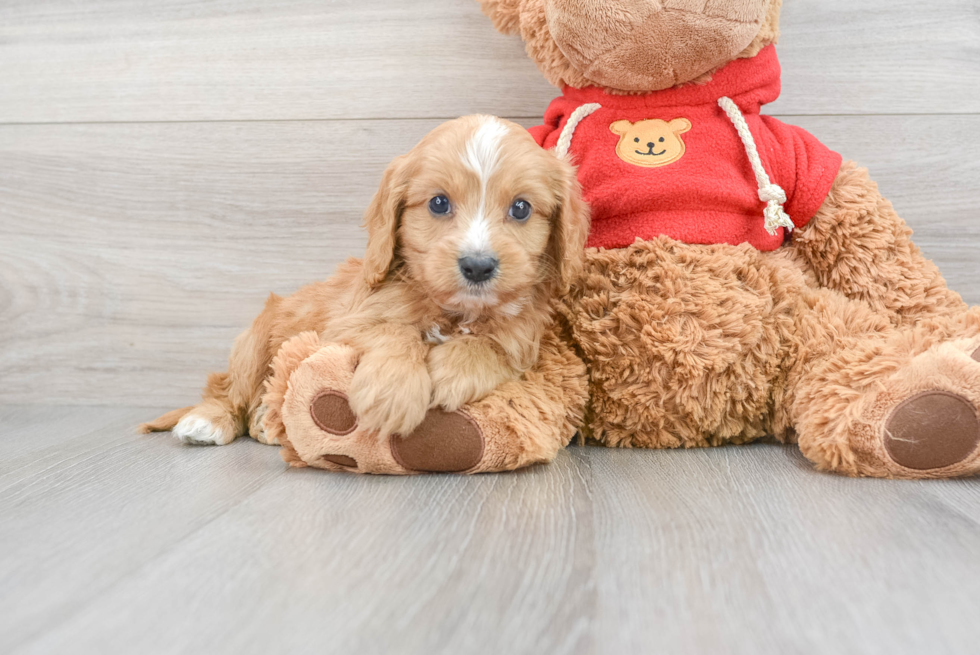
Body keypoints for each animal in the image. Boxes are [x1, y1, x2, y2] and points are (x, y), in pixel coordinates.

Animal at [143, 116, 588, 446]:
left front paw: (453, 369)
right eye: (438, 203)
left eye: (521, 209)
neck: (452, 310)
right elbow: (392, 330)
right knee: (226, 388)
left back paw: (266, 421)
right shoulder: (343, 325)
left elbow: (493, 346)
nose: (478, 267)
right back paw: (210, 421)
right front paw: (393, 391)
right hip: (252, 343)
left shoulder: (523, 339)